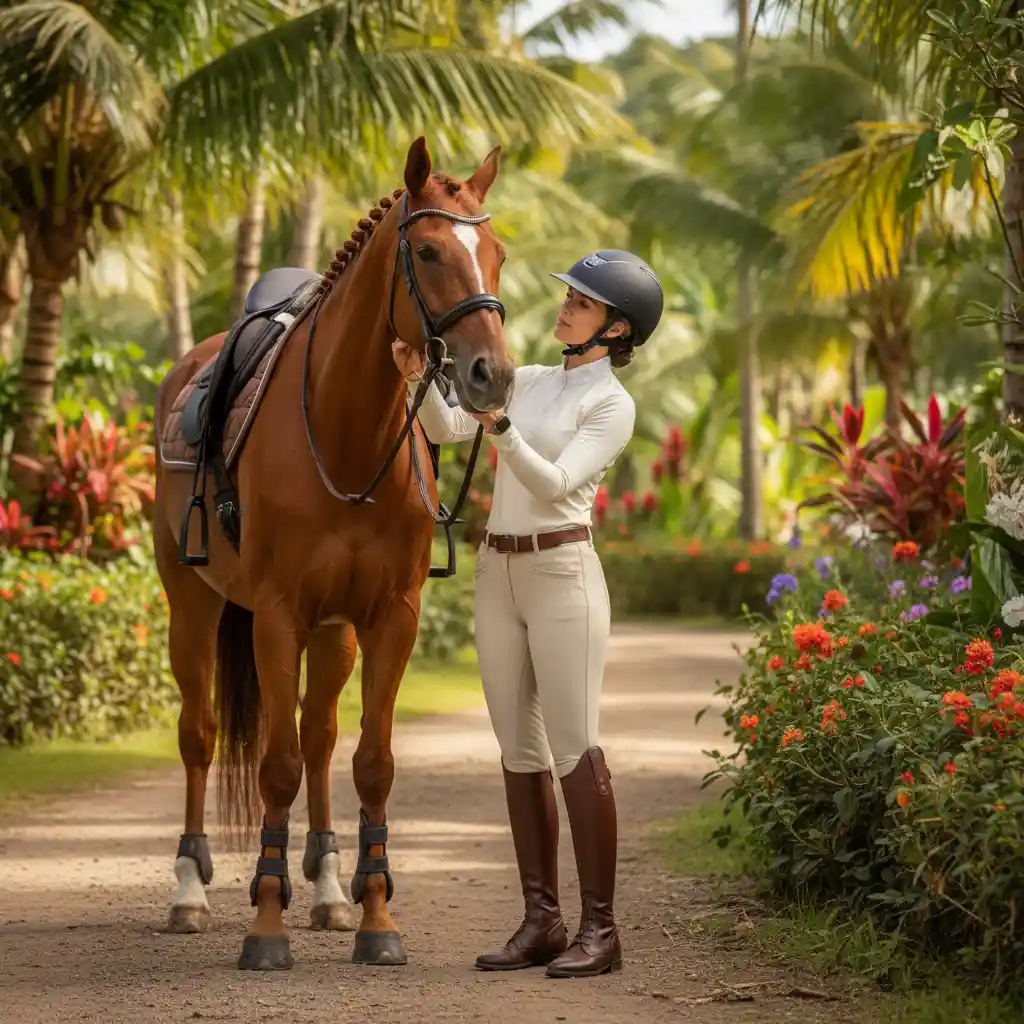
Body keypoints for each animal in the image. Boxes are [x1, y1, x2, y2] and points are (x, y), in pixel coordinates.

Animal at [151, 135, 515, 971]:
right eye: (428, 250)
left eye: (498, 255)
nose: (494, 373)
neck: (347, 436)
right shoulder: (276, 614)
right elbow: (275, 765)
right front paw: (265, 926)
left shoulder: (390, 616)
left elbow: (369, 763)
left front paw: (376, 918)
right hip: (192, 605)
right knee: (201, 735)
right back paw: (189, 892)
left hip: (334, 629)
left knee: (319, 736)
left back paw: (326, 887)